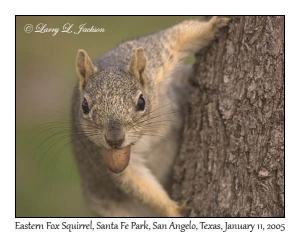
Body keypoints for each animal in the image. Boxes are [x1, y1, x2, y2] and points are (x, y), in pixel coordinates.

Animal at [71, 16, 231, 217]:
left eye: (141, 102)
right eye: (84, 106)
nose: (115, 140)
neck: (145, 133)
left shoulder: (156, 61)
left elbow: (178, 37)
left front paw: (213, 25)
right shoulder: (100, 152)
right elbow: (136, 182)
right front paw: (175, 210)